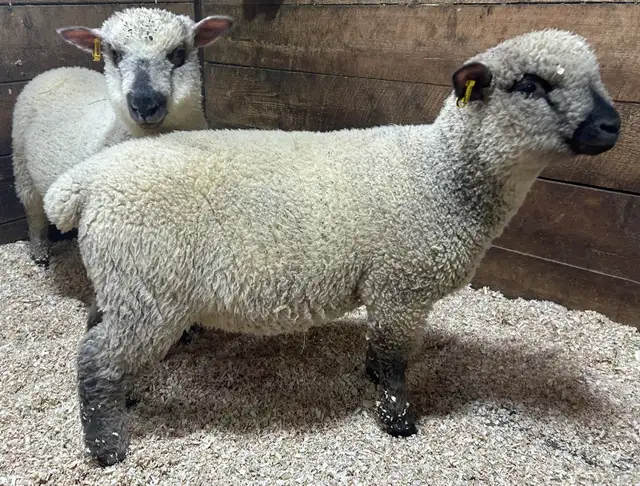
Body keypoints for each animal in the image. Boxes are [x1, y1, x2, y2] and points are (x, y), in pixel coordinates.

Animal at [12, 7, 233, 266]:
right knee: (33, 213)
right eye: (115, 54)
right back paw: (39, 252)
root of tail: (56, 70)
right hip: (22, 169)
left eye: (178, 53)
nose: (144, 104)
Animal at [44, 29, 621, 466]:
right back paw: (107, 448)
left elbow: (382, 353)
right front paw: (398, 422)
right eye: (531, 84)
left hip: (125, 284)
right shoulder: (401, 286)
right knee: (94, 361)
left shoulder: (392, 293)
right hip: (151, 293)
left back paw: (127, 399)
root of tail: (84, 182)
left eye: (597, 78)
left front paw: (374, 385)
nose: (611, 125)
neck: (439, 176)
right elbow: (393, 361)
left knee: (95, 331)